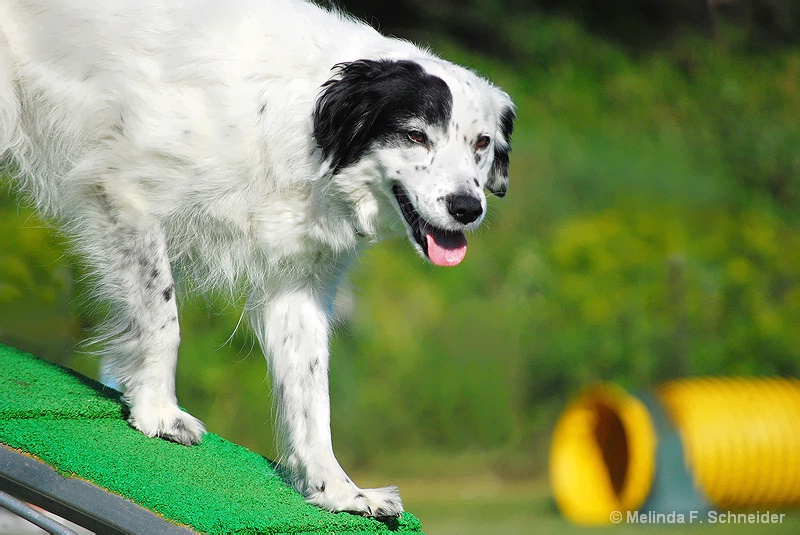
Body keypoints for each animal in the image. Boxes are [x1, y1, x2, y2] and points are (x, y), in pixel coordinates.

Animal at [0, 0, 516, 520]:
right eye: (414, 135)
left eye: (481, 143)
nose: (467, 208)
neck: (310, 128)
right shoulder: (124, 194)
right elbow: (164, 321)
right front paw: (158, 410)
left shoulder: (300, 285)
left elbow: (311, 393)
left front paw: (339, 490)